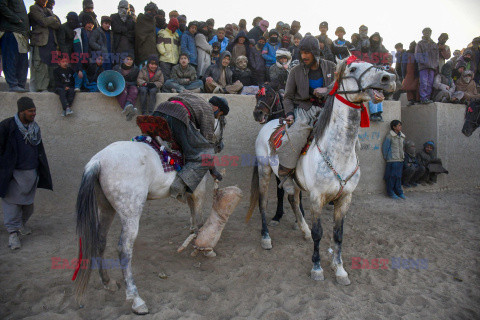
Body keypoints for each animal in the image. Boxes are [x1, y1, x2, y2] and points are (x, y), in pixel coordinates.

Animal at [74, 118, 224, 316]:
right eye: (222, 123)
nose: (219, 145)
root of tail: (98, 161)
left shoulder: (191, 192)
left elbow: (193, 217)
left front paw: (194, 238)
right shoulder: (199, 191)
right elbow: (199, 220)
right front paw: (204, 248)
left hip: (105, 208)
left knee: (100, 241)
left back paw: (108, 282)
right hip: (130, 213)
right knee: (124, 250)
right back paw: (136, 299)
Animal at [246, 58, 396, 284]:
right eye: (353, 68)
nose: (388, 78)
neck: (338, 154)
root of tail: (269, 125)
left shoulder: (345, 198)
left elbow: (338, 234)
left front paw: (340, 269)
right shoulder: (317, 197)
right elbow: (320, 232)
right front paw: (317, 268)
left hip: (293, 182)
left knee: (293, 199)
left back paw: (303, 230)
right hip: (265, 171)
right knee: (263, 203)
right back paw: (266, 237)